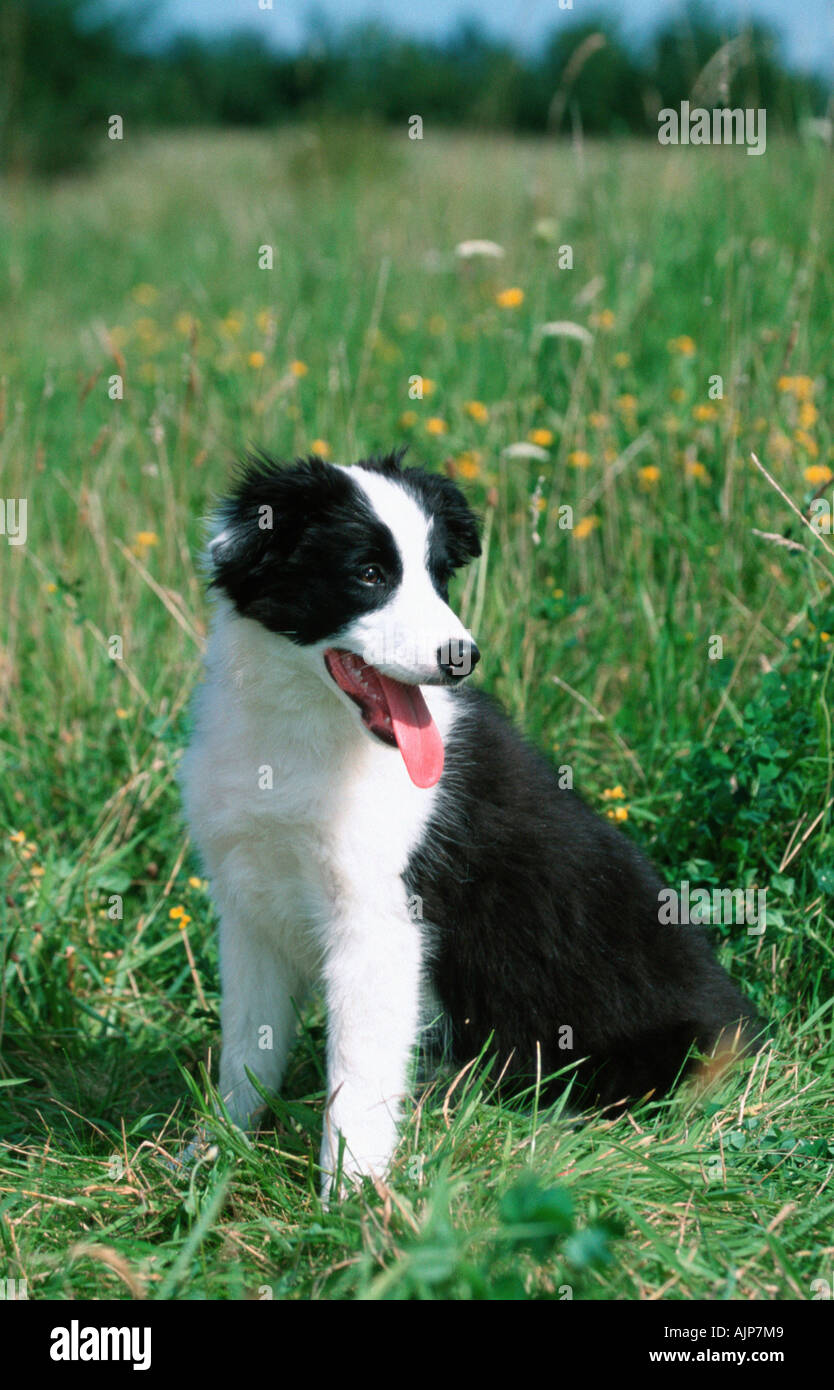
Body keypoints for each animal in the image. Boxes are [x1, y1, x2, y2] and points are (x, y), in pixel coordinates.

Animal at [180, 450, 761, 1189]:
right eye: (368, 575)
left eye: (438, 575)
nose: (462, 657)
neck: (301, 736)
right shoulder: (249, 909)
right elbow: (246, 1053)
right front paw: (214, 1154)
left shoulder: (379, 924)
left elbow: (356, 1082)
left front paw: (352, 1197)